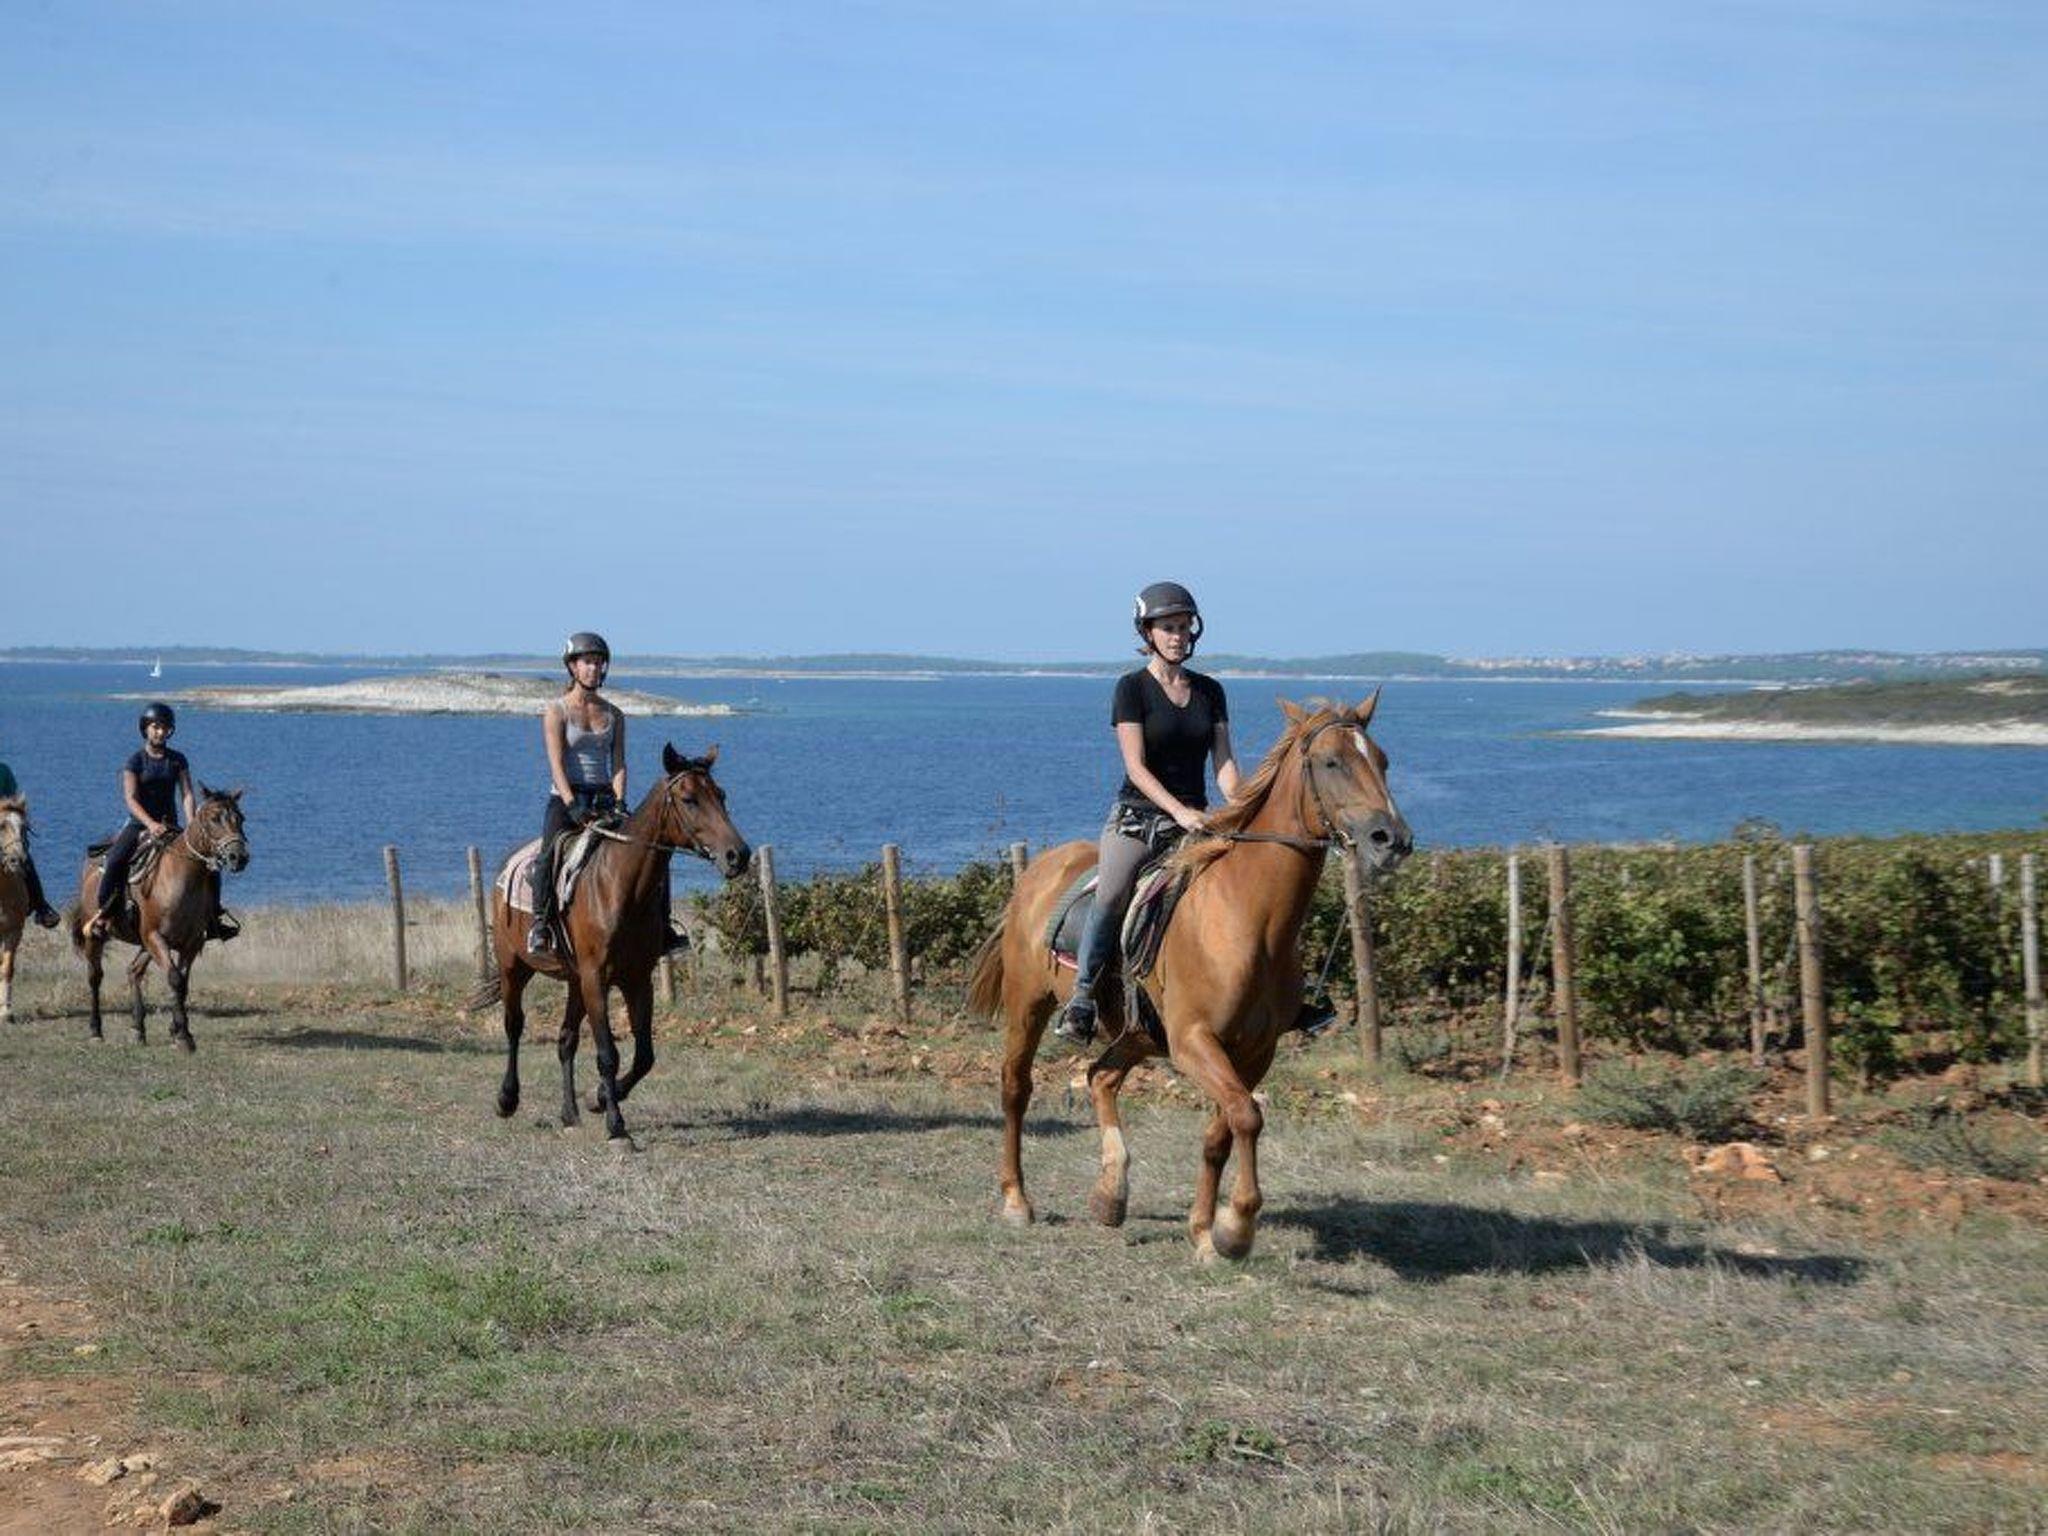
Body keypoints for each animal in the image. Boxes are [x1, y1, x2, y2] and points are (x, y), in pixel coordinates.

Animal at [67, 787, 250, 1051]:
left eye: (241, 818)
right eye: (214, 819)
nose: (239, 857)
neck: (181, 880)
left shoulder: (191, 942)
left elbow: (183, 983)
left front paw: (179, 1030)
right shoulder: (155, 937)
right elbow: (174, 979)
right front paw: (183, 1036)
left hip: (145, 944)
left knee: (133, 971)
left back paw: (138, 1029)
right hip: (99, 936)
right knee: (95, 977)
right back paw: (96, 1030)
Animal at [480, 743, 752, 1145]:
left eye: (722, 795)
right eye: (689, 799)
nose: (738, 855)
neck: (619, 886)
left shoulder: (636, 979)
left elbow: (644, 1056)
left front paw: (600, 1098)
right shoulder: (597, 979)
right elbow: (608, 1053)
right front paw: (615, 1123)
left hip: (574, 981)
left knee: (565, 1040)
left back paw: (569, 1113)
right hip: (516, 966)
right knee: (514, 1025)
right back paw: (506, 1100)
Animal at [968, 695, 1412, 1262]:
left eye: (1382, 760)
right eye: (1331, 762)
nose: (1392, 840)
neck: (1247, 917)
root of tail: (1039, 869)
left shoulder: (1254, 1050)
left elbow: (1223, 1130)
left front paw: (1205, 1232)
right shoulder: (1194, 1041)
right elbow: (1246, 1117)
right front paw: (1236, 1228)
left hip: (1137, 1032)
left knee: (1100, 1076)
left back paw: (1111, 1193)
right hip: (1030, 1003)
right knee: (1016, 1088)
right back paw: (1017, 1200)